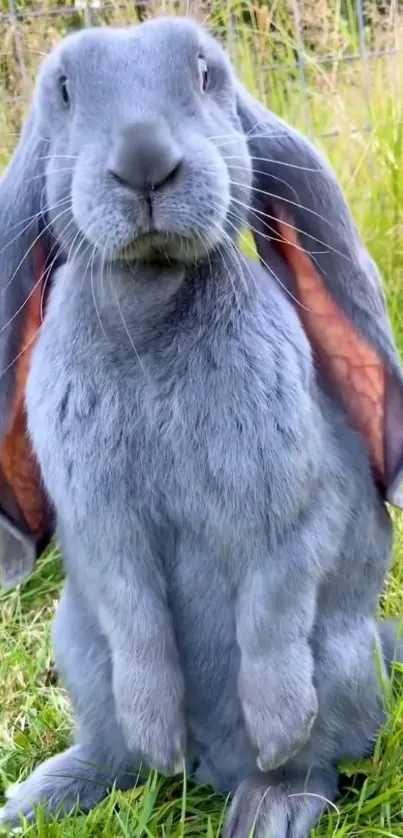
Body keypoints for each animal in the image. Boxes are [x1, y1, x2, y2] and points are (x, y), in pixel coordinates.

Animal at [0, 14, 403, 838]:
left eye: (207, 73)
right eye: (64, 91)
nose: (144, 161)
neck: (152, 306)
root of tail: (214, 773)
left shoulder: (290, 512)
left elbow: (273, 607)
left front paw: (277, 724)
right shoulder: (104, 530)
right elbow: (135, 615)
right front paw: (160, 733)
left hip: (340, 660)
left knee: (317, 761)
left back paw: (266, 804)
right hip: (79, 647)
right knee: (115, 753)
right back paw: (43, 796)